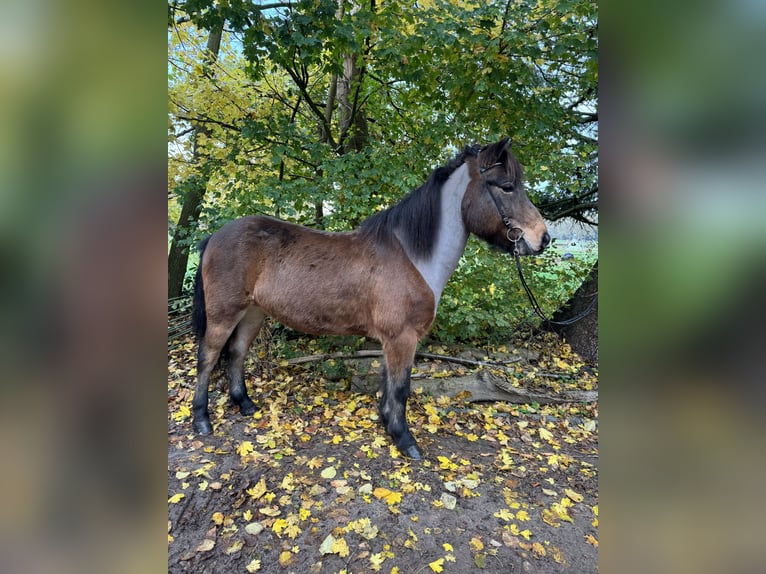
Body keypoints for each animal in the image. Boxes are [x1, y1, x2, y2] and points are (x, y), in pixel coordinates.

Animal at [190, 138, 550, 460]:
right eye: (506, 187)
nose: (543, 238)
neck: (411, 255)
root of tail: (214, 237)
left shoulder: (393, 339)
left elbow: (388, 383)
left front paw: (387, 424)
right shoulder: (402, 337)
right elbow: (402, 387)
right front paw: (405, 441)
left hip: (252, 312)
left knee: (236, 353)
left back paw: (245, 404)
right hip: (224, 314)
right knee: (208, 358)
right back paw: (201, 420)